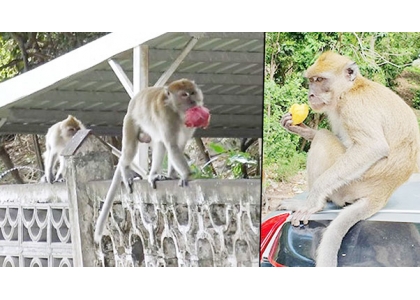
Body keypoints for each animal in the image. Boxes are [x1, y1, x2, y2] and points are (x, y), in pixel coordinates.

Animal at [93, 78, 208, 244]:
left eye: (192, 92)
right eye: (184, 95)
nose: (193, 101)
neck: (176, 110)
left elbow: (178, 146)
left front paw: (173, 175)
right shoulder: (166, 117)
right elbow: (172, 145)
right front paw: (186, 175)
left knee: (159, 143)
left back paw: (154, 175)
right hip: (130, 122)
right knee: (130, 150)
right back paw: (126, 171)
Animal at [278, 51, 420, 268]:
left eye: (320, 80)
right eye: (311, 80)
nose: (311, 94)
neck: (350, 89)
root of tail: (382, 194)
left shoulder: (354, 106)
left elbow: (372, 147)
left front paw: (311, 203)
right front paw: (300, 128)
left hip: (349, 187)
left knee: (324, 138)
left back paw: (316, 203)